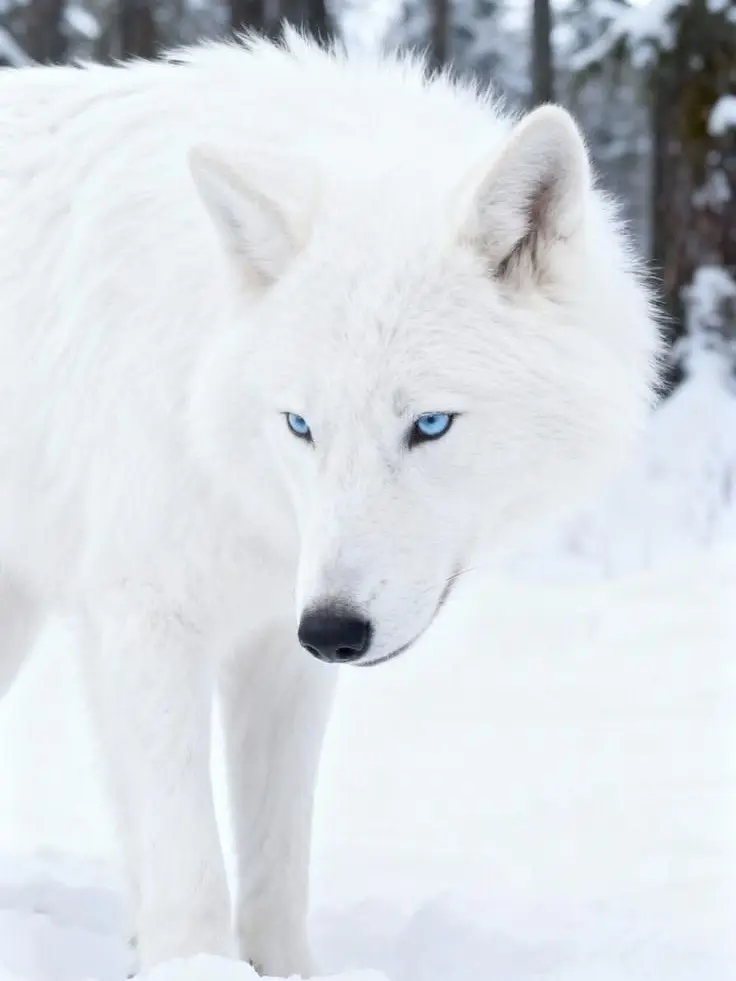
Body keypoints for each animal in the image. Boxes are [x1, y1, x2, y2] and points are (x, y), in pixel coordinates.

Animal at [0, 29, 659, 977]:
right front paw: (187, 958)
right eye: (301, 424)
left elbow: (273, 869)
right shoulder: (147, 620)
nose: (335, 631)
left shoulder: (276, 639)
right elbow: (190, 867)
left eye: (430, 423)